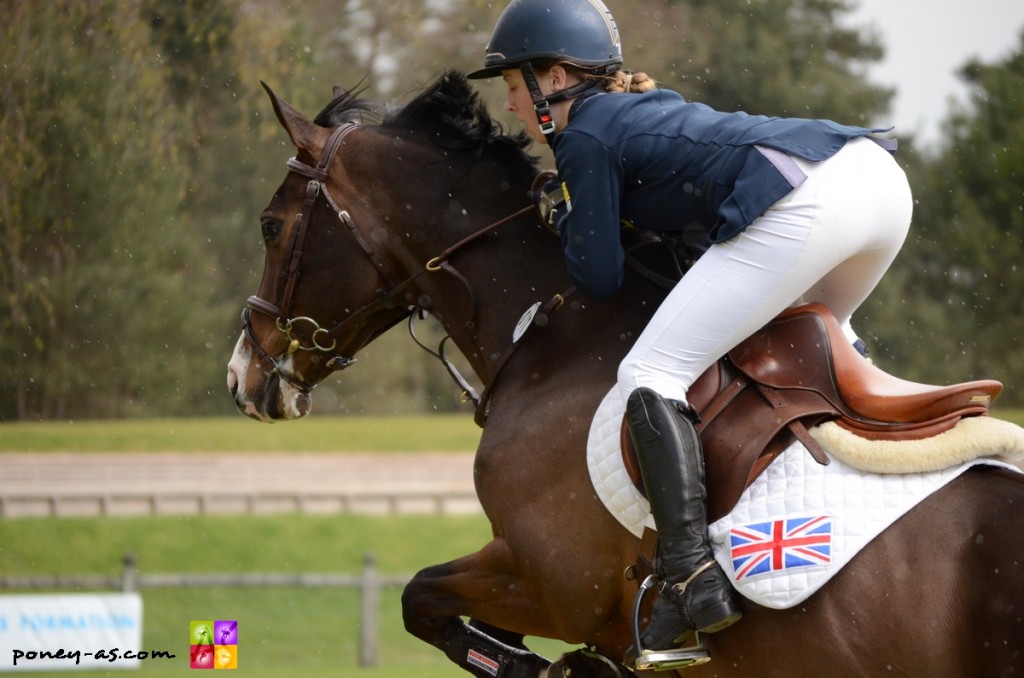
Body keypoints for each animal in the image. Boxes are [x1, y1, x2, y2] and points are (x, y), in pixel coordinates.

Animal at [226, 71, 1024, 675]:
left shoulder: (550, 582)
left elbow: (420, 598)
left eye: (270, 225)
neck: (551, 333)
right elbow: (425, 603)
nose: (242, 377)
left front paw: (545, 663)